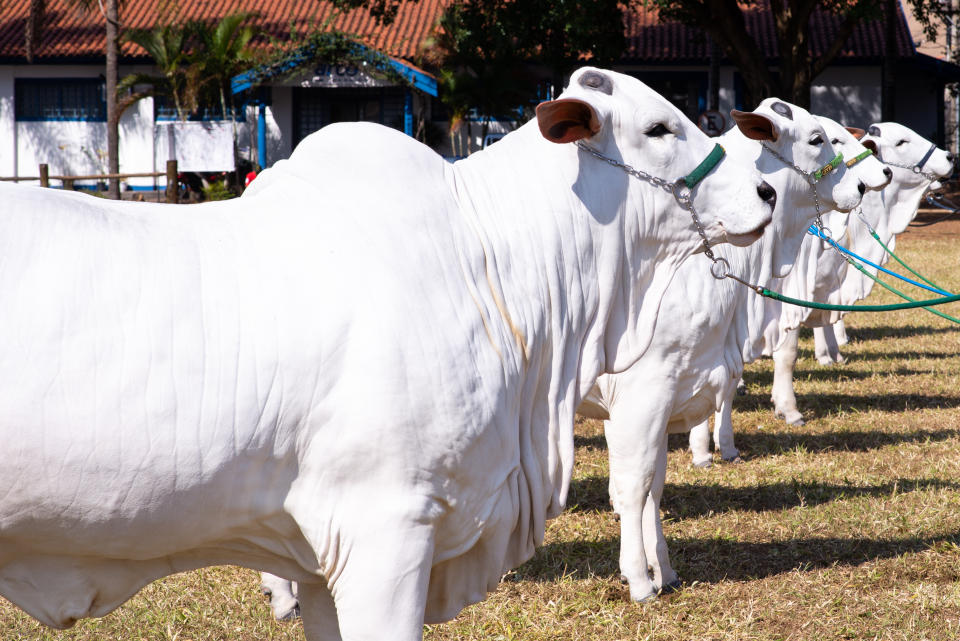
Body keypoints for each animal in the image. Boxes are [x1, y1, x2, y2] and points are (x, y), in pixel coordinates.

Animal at [764, 124, 952, 424]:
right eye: (901, 141)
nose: (949, 157)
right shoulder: (793, 292)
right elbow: (787, 351)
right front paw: (789, 407)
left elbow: (826, 318)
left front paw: (831, 355)